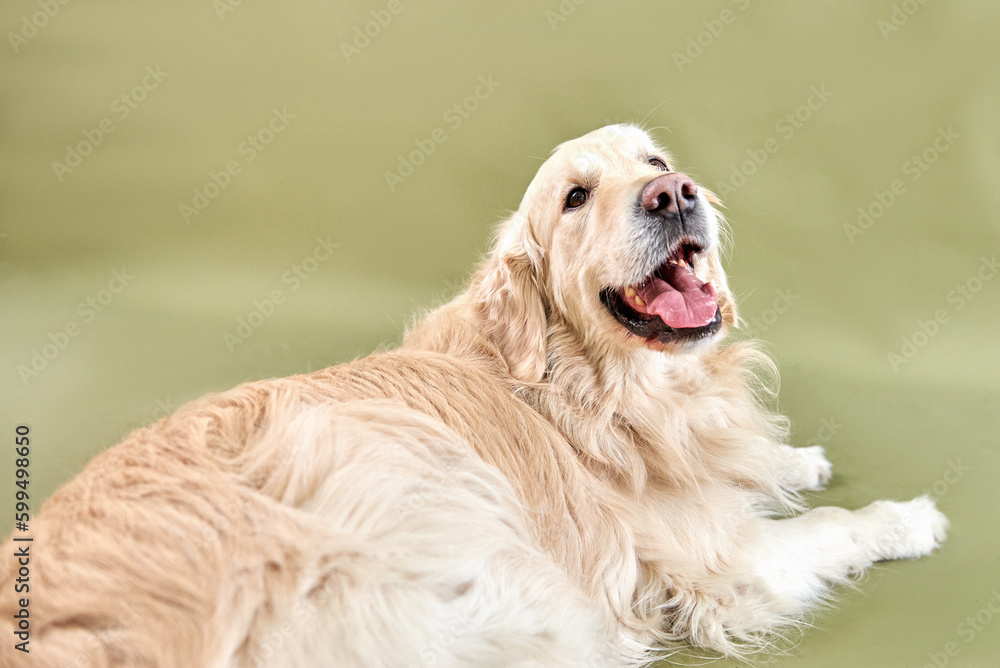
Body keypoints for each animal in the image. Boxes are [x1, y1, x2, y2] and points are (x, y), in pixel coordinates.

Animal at [3, 126, 948, 668]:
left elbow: (756, 464)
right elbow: (829, 529)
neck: (576, 383)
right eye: (574, 198)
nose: (673, 195)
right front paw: (906, 517)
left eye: (656, 163)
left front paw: (796, 459)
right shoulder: (722, 563)